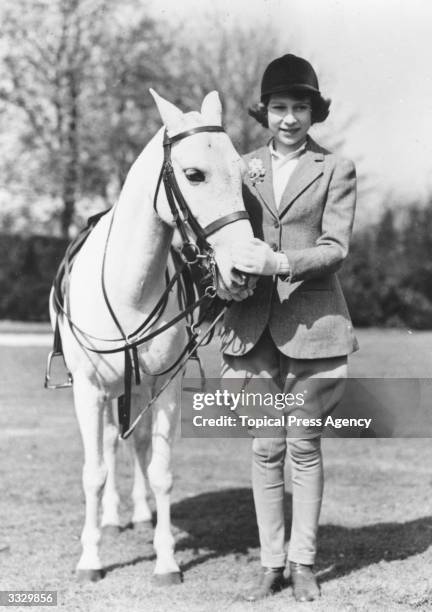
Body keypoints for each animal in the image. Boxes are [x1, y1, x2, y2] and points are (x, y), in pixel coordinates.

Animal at [51, 89, 253, 584]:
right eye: (194, 174)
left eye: (242, 174)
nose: (242, 269)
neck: (129, 290)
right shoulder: (88, 391)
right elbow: (94, 471)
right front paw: (91, 559)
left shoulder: (164, 388)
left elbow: (160, 470)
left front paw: (165, 561)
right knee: (109, 444)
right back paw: (112, 517)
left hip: (139, 389)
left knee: (137, 445)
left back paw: (140, 513)